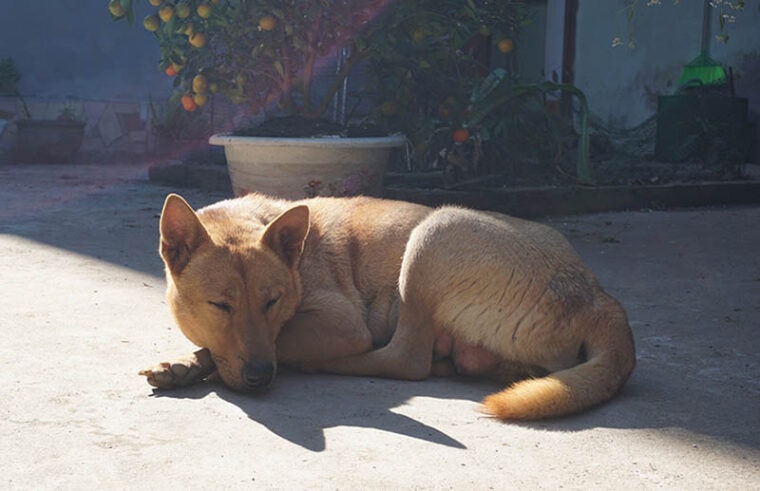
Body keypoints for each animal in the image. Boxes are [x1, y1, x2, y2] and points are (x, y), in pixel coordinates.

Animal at [141, 192, 636, 418]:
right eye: (219, 305)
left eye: (273, 301)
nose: (261, 378)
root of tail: (600, 295)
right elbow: (216, 347)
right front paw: (184, 364)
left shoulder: (341, 323)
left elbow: (275, 342)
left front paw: (199, 363)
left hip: (436, 232)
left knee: (407, 359)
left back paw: (331, 366)